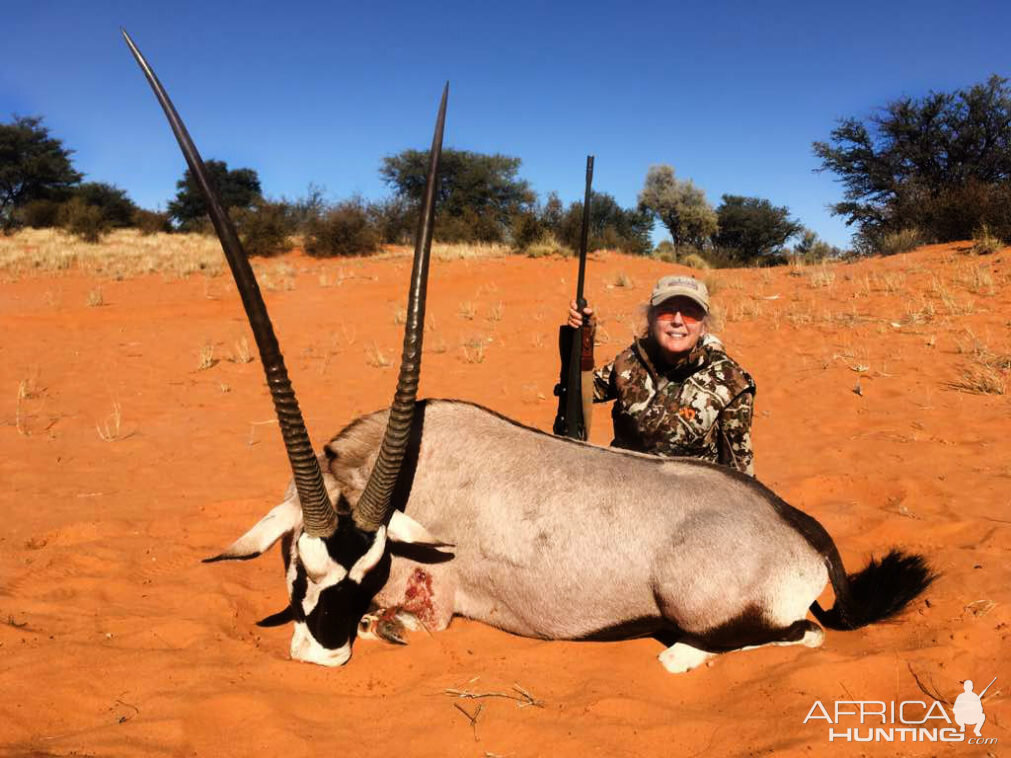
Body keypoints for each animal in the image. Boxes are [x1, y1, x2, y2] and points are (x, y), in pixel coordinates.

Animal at [124, 31, 930, 671]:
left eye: (368, 570)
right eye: (300, 561)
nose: (322, 652)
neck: (406, 463)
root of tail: (799, 528)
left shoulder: (435, 598)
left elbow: (405, 620)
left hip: (706, 610)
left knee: (790, 637)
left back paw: (673, 650)